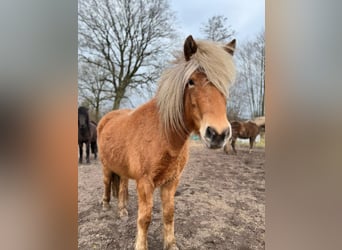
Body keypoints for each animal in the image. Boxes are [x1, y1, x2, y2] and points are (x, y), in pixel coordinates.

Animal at [96, 35, 235, 250]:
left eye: (225, 85)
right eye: (191, 82)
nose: (218, 134)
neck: (164, 136)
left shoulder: (171, 181)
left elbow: (169, 214)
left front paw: (171, 244)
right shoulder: (145, 182)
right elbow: (145, 218)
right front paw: (140, 245)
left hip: (123, 169)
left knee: (122, 187)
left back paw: (122, 211)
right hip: (106, 166)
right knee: (106, 183)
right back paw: (105, 205)